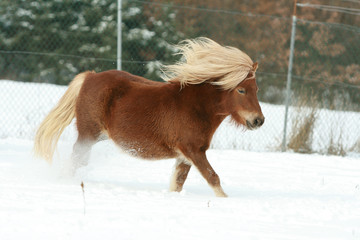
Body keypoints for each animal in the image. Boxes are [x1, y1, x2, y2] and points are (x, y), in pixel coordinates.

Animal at [33, 38, 264, 197]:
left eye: (257, 89)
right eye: (241, 90)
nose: (258, 121)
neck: (197, 106)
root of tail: (90, 76)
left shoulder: (186, 155)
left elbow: (178, 183)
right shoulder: (193, 150)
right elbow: (212, 177)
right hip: (88, 134)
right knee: (77, 159)